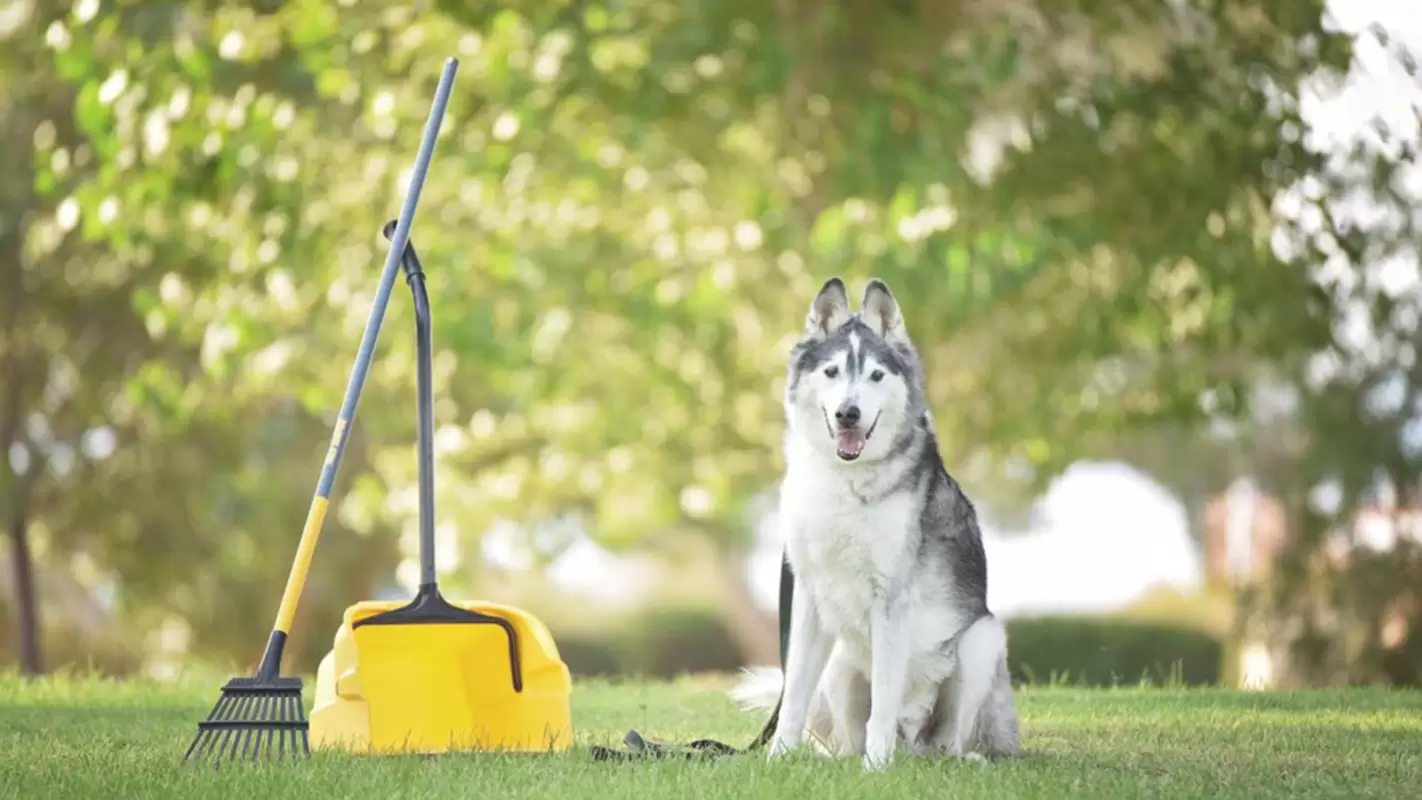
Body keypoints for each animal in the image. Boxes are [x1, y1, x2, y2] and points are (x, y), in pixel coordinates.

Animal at [733, 277, 1023, 767]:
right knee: (846, 736)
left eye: (875, 375)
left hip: (981, 641)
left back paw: (950, 758)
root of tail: (914, 745)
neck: (845, 479)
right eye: (832, 372)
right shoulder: (810, 599)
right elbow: (793, 696)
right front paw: (778, 759)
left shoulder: (892, 600)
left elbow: (884, 701)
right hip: (838, 662)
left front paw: (876, 769)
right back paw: (840, 760)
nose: (848, 413)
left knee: (945, 740)